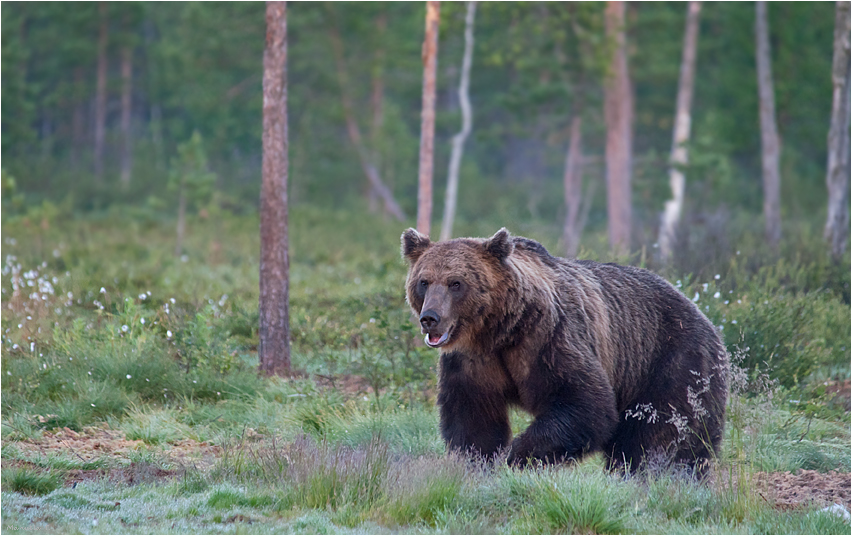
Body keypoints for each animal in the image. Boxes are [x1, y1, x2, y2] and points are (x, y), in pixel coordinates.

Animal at [402, 226, 728, 474]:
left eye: (456, 283)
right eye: (424, 282)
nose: (430, 317)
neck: (498, 332)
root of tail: (705, 315)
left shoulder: (547, 340)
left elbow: (584, 404)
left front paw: (518, 456)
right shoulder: (472, 362)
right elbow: (473, 419)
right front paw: (479, 462)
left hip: (671, 360)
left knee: (668, 434)